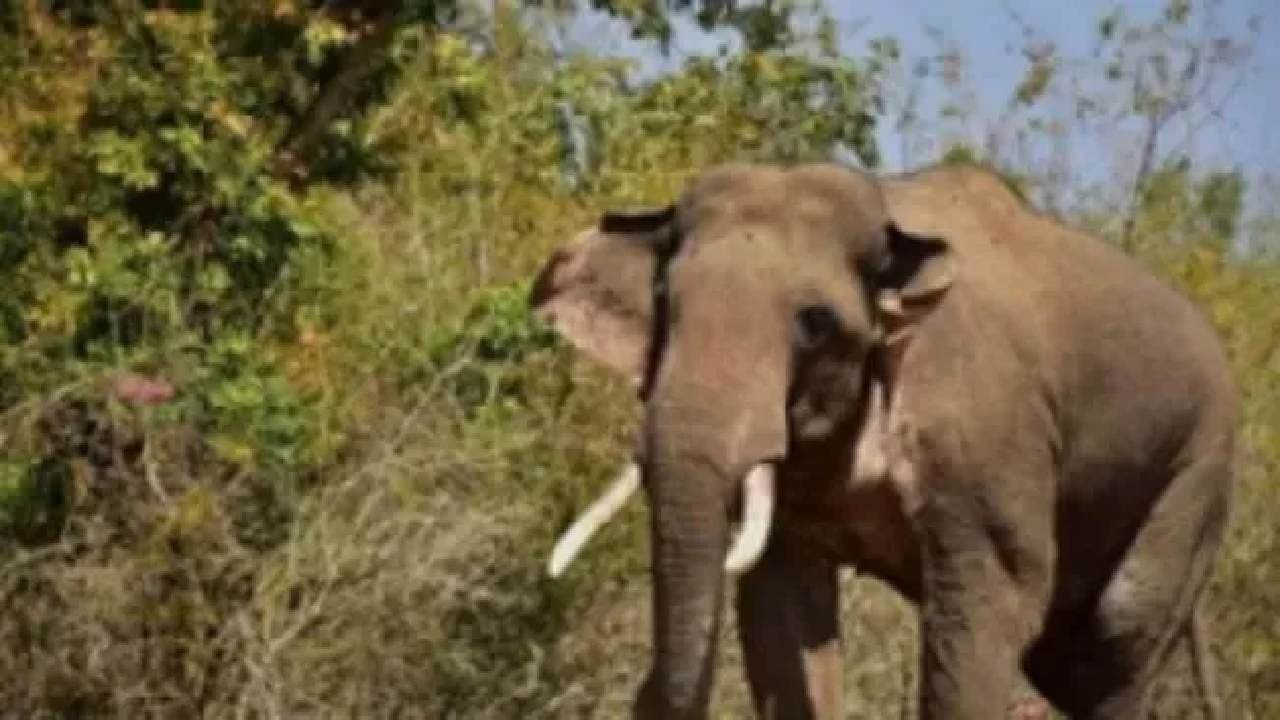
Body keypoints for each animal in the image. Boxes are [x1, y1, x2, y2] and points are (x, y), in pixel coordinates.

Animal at [529, 162, 1236, 719]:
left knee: (1116, 640)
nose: (643, 695)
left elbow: (989, 605)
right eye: (664, 301)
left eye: (815, 323)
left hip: (1197, 469)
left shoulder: (984, 432)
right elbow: (784, 609)